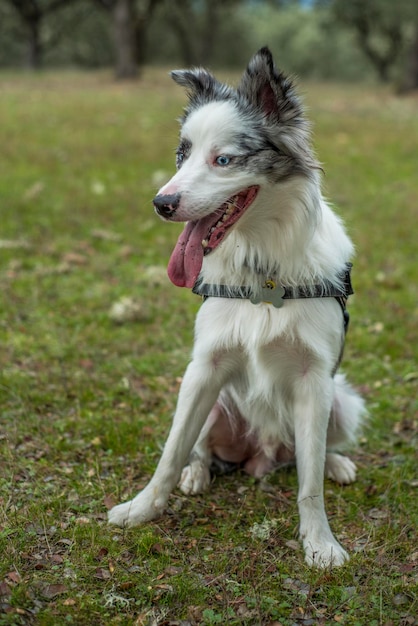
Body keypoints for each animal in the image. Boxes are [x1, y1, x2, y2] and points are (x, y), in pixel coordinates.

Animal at [108, 47, 366, 564]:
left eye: (223, 159)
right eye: (182, 154)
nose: (161, 203)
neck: (261, 266)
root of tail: (260, 455)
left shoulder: (315, 379)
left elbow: (309, 482)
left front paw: (320, 542)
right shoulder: (203, 367)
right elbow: (170, 452)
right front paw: (142, 509)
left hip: (342, 400)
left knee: (311, 454)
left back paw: (337, 463)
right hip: (212, 401)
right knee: (200, 450)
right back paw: (197, 474)